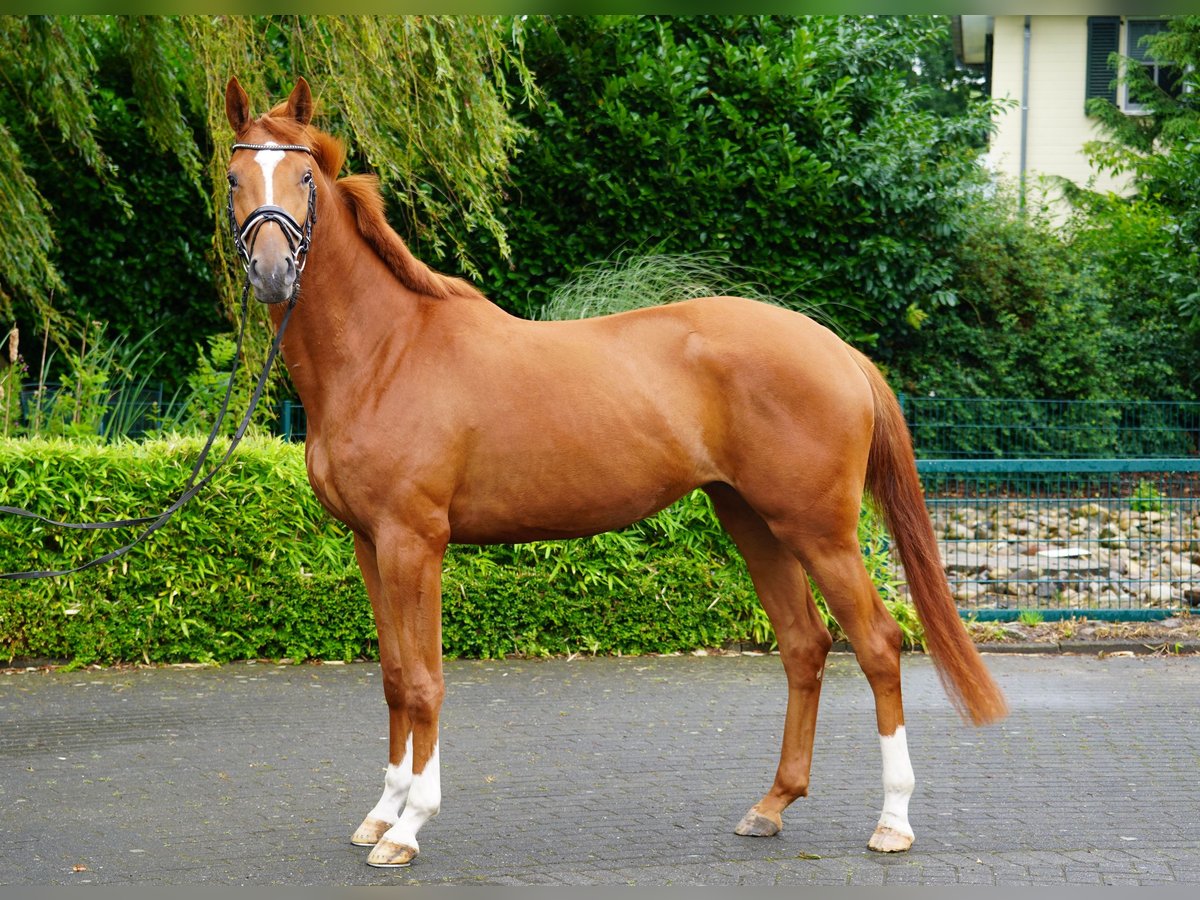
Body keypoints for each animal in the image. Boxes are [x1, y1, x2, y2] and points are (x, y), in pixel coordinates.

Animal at [223, 79, 1003, 873]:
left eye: (305, 177)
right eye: (233, 177)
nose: (271, 273)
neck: (387, 353)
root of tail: (838, 349)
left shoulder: (415, 542)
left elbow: (422, 680)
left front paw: (409, 828)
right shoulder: (369, 544)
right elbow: (389, 678)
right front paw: (381, 813)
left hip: (820, 531)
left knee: (877, 643)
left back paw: (893, 821)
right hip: (751, 521)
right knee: (804, 644)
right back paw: (771, 807)